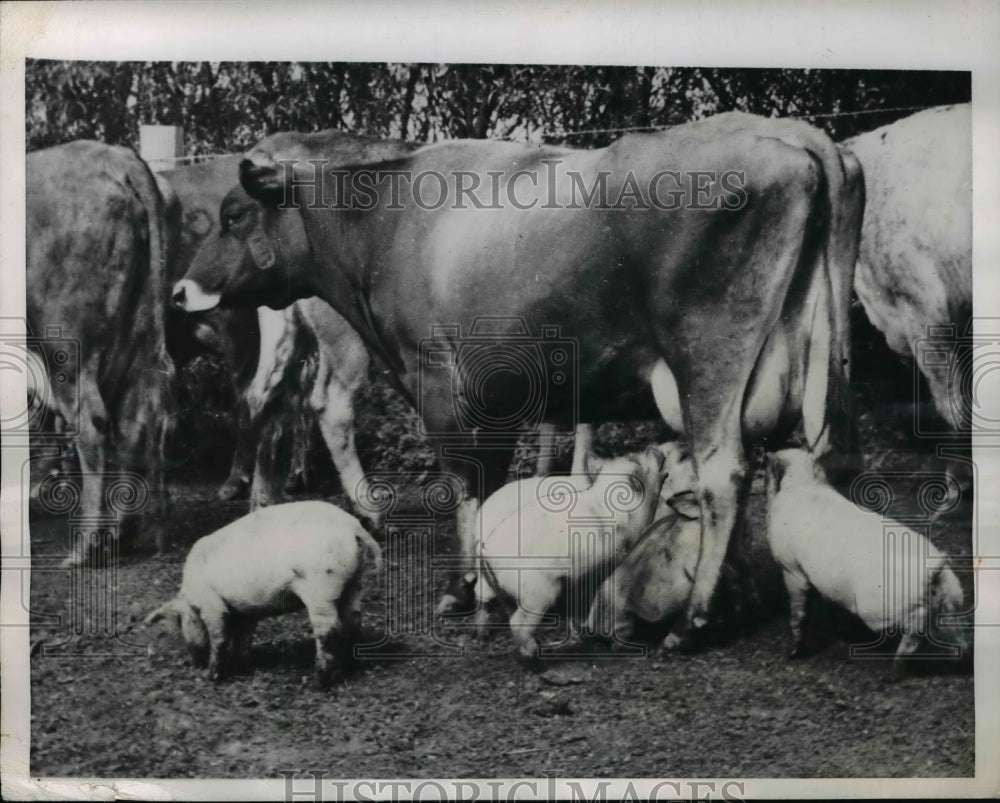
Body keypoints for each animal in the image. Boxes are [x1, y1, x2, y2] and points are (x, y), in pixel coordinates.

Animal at [26, 140, 176, 564]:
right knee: (137, 418)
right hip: (139, 333)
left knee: (91, 422)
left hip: (65, 341)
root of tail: (116, 156)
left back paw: (86, 544)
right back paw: (124, 532)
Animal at [176, 116, 864, 652]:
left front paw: (468, 591)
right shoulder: (499, 389)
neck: (386, 221)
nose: (181, 291)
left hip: (709, 356)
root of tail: (800, 139)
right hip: (801, 361)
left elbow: (466, 484)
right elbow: (488, 483)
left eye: (235, 215)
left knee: (724, 473)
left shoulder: (439, 380)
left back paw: (691, 621)